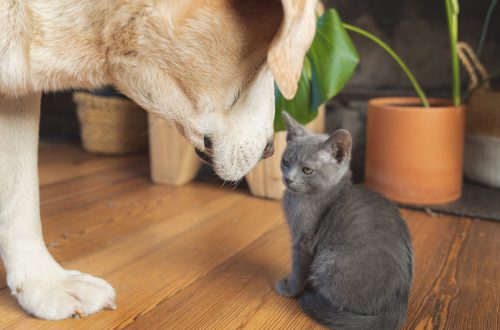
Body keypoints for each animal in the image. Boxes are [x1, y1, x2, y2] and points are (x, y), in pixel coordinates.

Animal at [276, 112, 412, 328]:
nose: (288, 178)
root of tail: (396, 308)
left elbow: (298, 267)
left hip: (326, 262)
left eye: (307, 170)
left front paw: (290, 289)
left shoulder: (304, 240)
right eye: (286, 162)